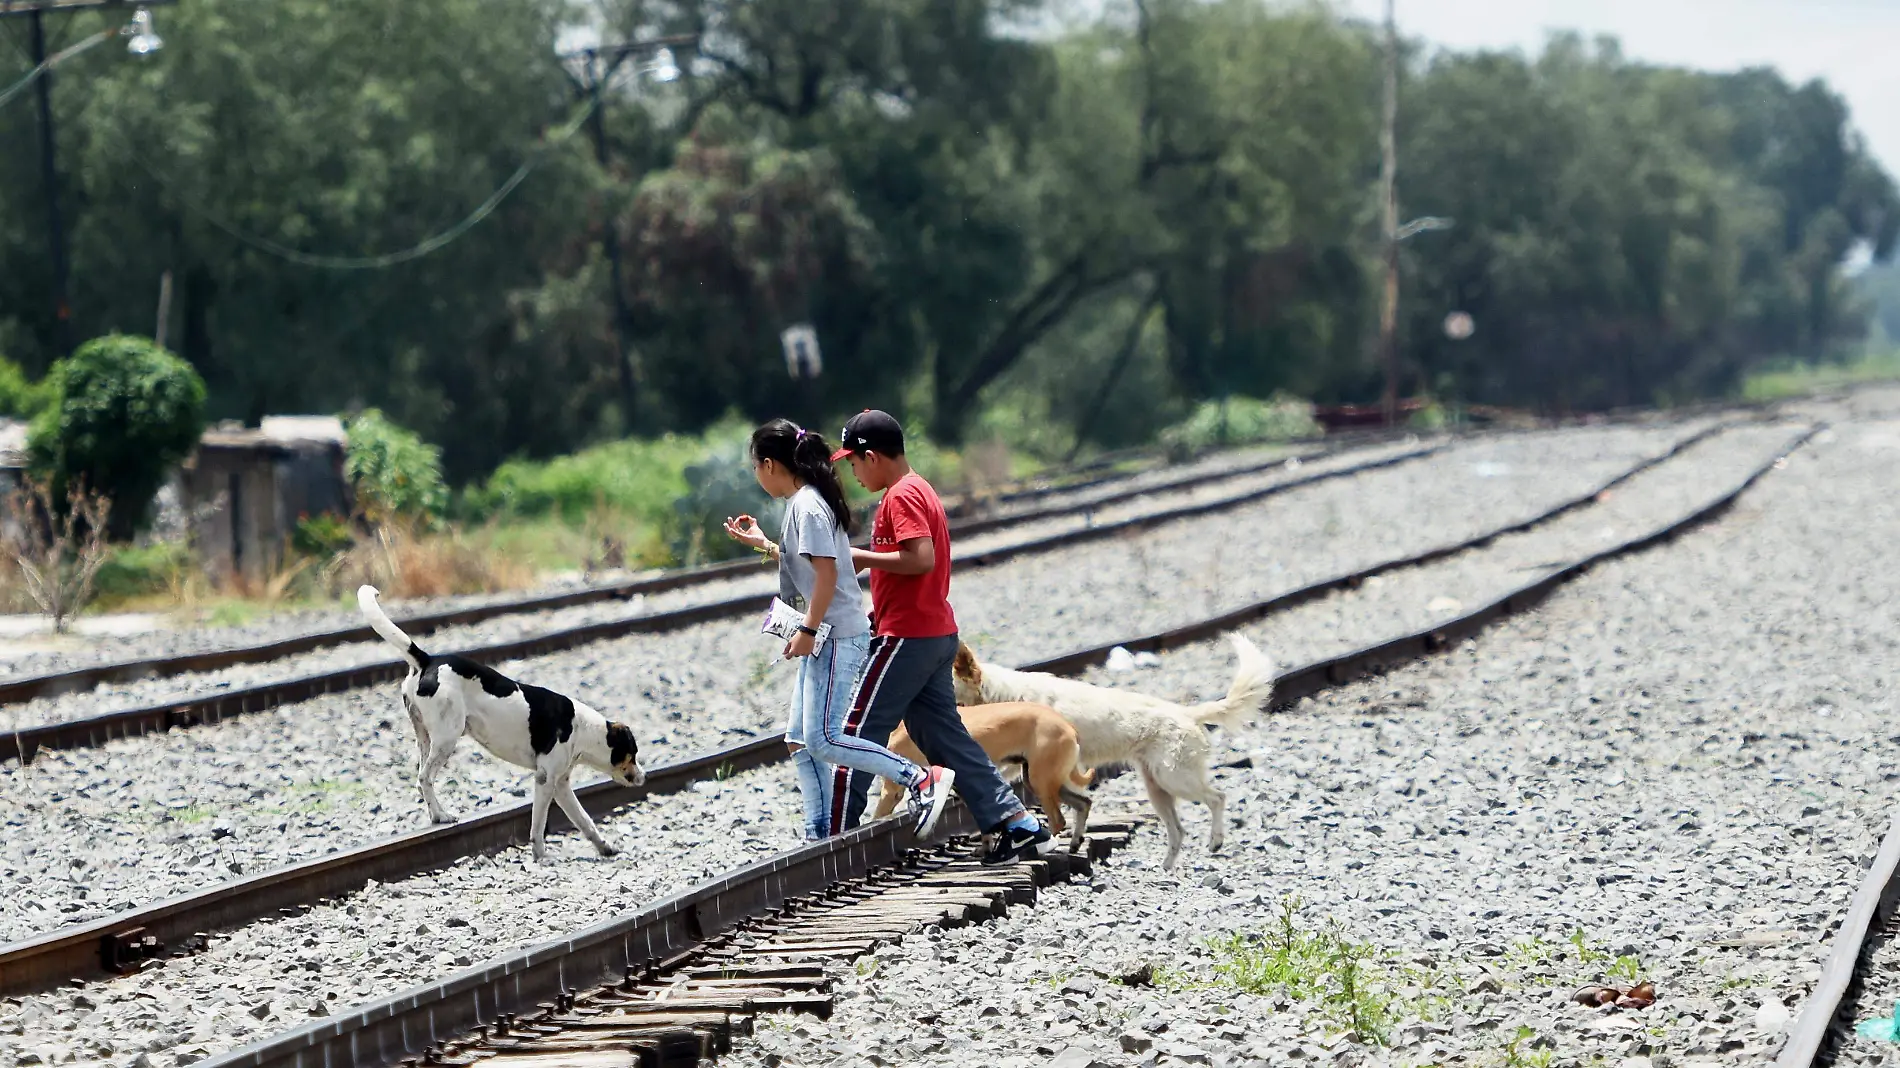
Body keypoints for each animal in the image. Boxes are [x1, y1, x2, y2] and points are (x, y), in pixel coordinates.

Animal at [357, 581, 646, 855]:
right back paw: (442, 815)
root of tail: (427, 661)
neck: (584, 729)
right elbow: (538, 823)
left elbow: (584, 820)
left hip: (426, 739)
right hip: (447, 738)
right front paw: (541, 854)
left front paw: (605, 847)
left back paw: (436, 816)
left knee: (421, 777)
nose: (644, 777)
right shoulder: (545, 779)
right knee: (424, 779)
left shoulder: (561, 785)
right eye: (632, 754)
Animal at [870, 699, 1094, 847]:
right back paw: (1075, 841)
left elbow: (877, 816)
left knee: (1058, 819)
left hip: (1041, 781)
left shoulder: (891, 791)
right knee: (1084, 803)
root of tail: (1068, 726)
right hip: (1039, 781)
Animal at [950, 630, 1276, 866]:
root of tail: (1187, 712)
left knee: (1217, 798)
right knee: (1178, 830)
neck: (1001, 695)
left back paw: (1215, 840)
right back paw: (1165, 868)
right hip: (1158, 788)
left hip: (1175, 778)